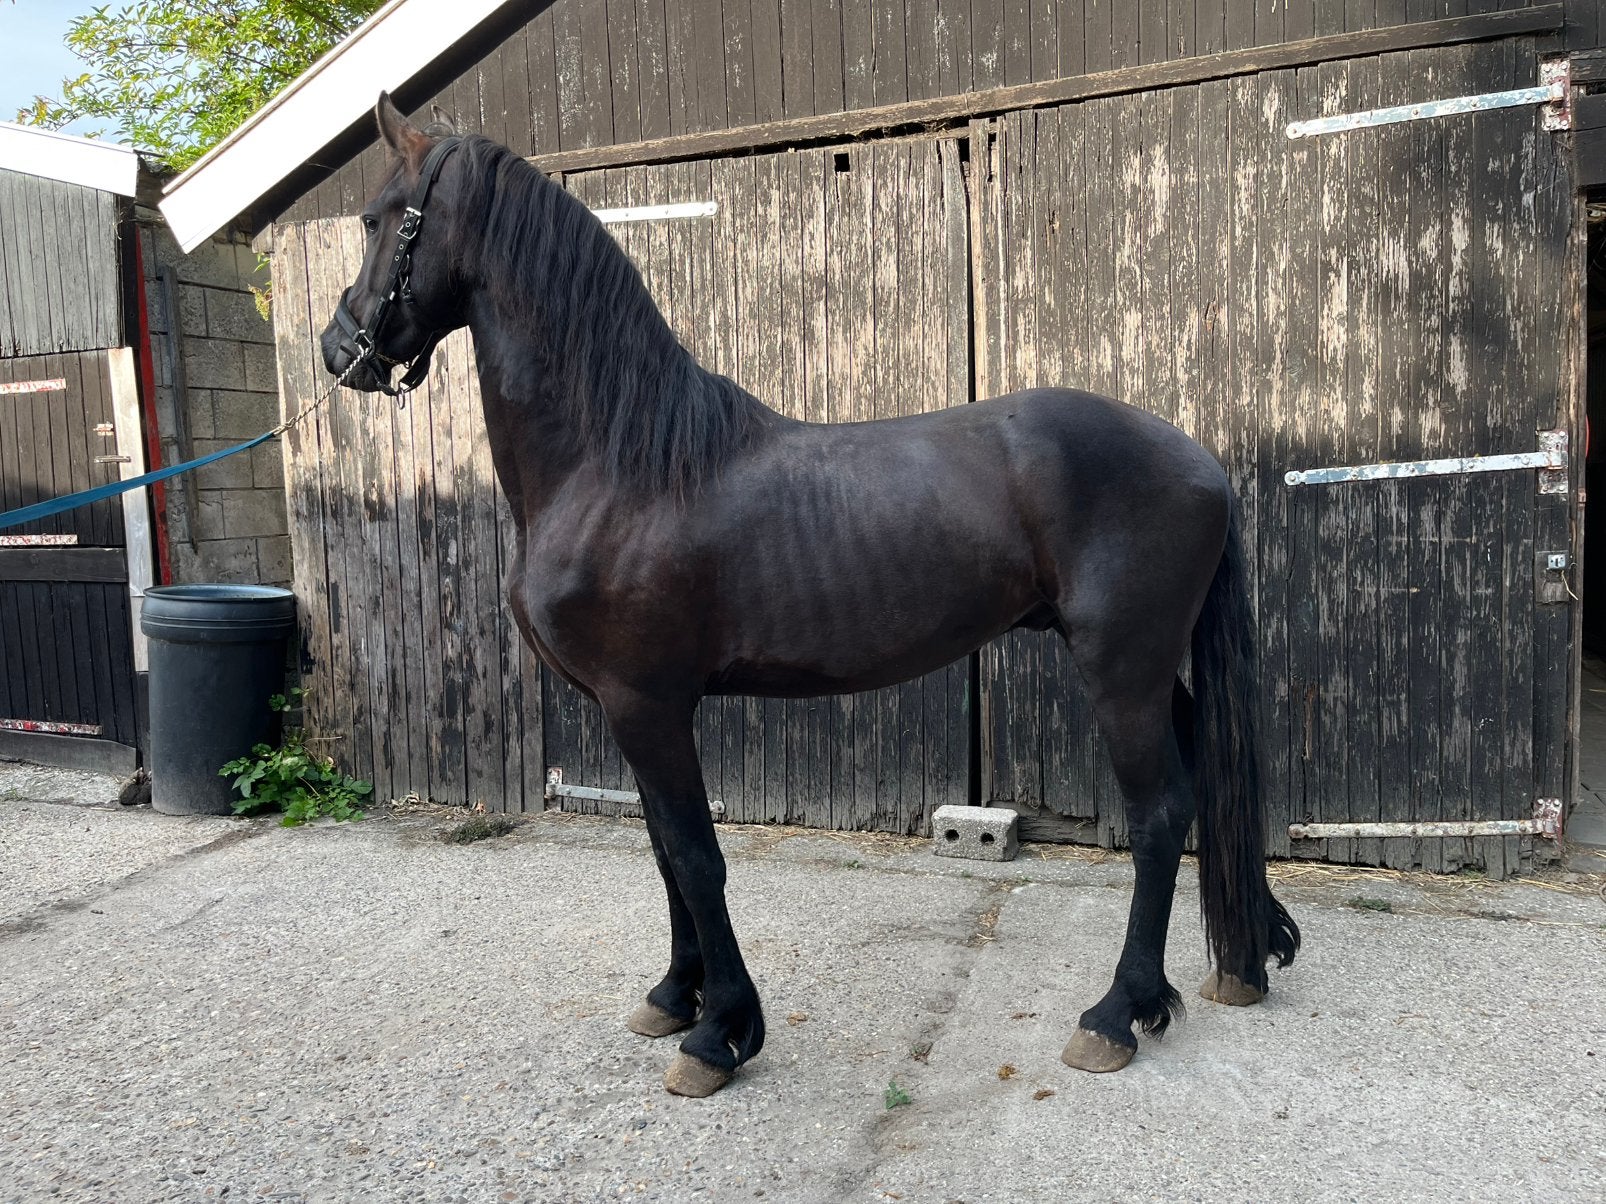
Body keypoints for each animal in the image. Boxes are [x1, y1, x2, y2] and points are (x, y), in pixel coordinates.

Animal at [320, 94, 1300, 1098]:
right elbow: (664, 854)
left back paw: (1117, 1013)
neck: (620, 465)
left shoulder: (648, 704)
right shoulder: (631, 711)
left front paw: (720, 1033)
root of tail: (1199, 458)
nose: (337, 348)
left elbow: (696, 858)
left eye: (374, 219)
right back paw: (1238, 962)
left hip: (1120, 671)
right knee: (1208, 776)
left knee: (1160, 816)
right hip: (1149, 670)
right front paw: (675, 996)